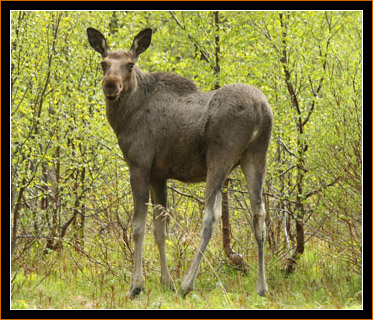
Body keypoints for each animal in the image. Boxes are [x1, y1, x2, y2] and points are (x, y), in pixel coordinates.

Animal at [88, 26, 274, 298]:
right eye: (103, 63)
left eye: (130, 65)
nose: (111, 84)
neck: (123, 118)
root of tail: (262, 110)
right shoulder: (159, 175)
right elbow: (160, 229)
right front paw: (166, 282)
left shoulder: (139, 165)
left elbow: (138, 227)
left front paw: (137, 286)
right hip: (256, 157)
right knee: (259, 213)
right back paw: (261, 287)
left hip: (220, 158)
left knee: (211, 216)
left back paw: (187, 284)